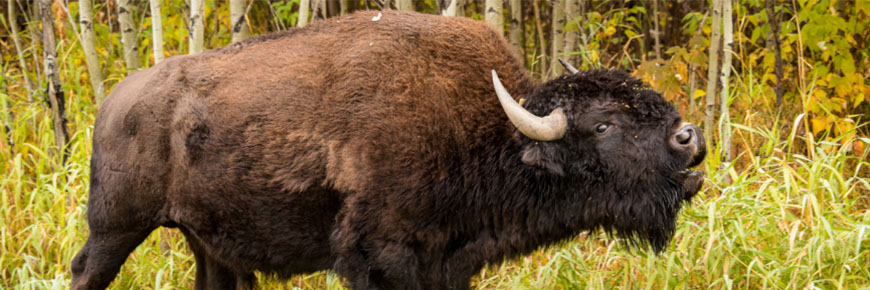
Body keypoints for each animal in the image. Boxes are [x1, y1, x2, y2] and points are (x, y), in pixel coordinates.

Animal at [70, 10, 708, 288]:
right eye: (602, 126)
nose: (689, 139)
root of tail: (114, 102)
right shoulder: (381, 259)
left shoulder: (447, 264)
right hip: (115, 228)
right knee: (84, 272)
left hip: (209, 244)